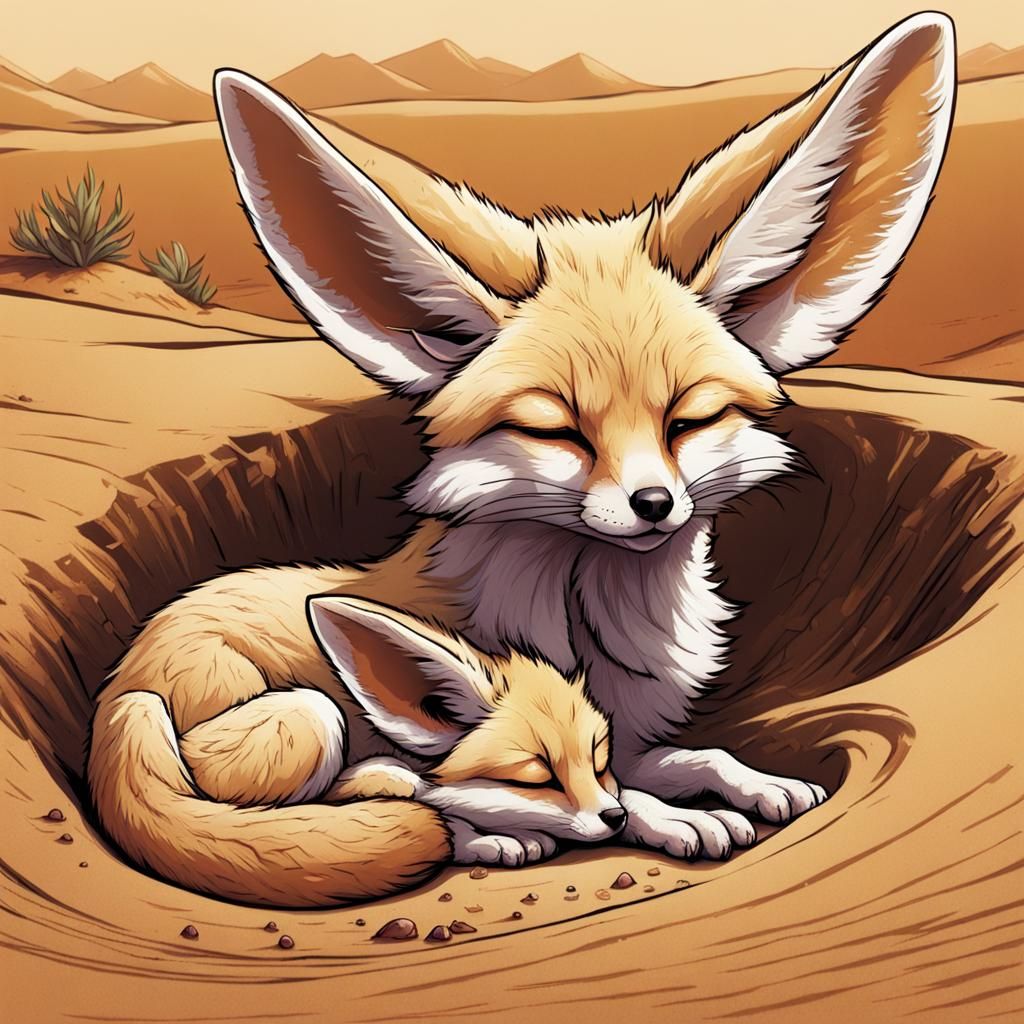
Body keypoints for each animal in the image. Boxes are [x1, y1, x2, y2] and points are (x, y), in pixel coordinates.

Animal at [88, 12, 956, 901]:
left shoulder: (623, 736)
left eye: (691, 418)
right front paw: (669, 821)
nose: (654, 505)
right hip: (311, 715)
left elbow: (690, 757)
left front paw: (757, 783)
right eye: (555, 430)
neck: (586, 618)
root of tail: (126, 690)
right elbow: (593, 796)